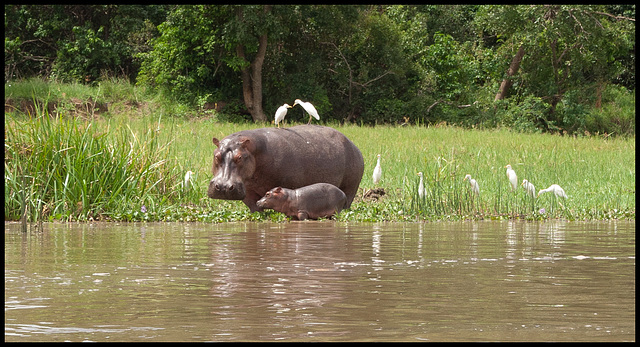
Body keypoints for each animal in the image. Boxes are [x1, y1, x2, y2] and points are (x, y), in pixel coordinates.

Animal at [208, 125, 362, 212]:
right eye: (216, 155)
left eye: (239, 157)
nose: (223, 187)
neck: (255, 150)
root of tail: (353, 144)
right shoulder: (248, 190)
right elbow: (255, 209)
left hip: (351, 187)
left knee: (348, 201)